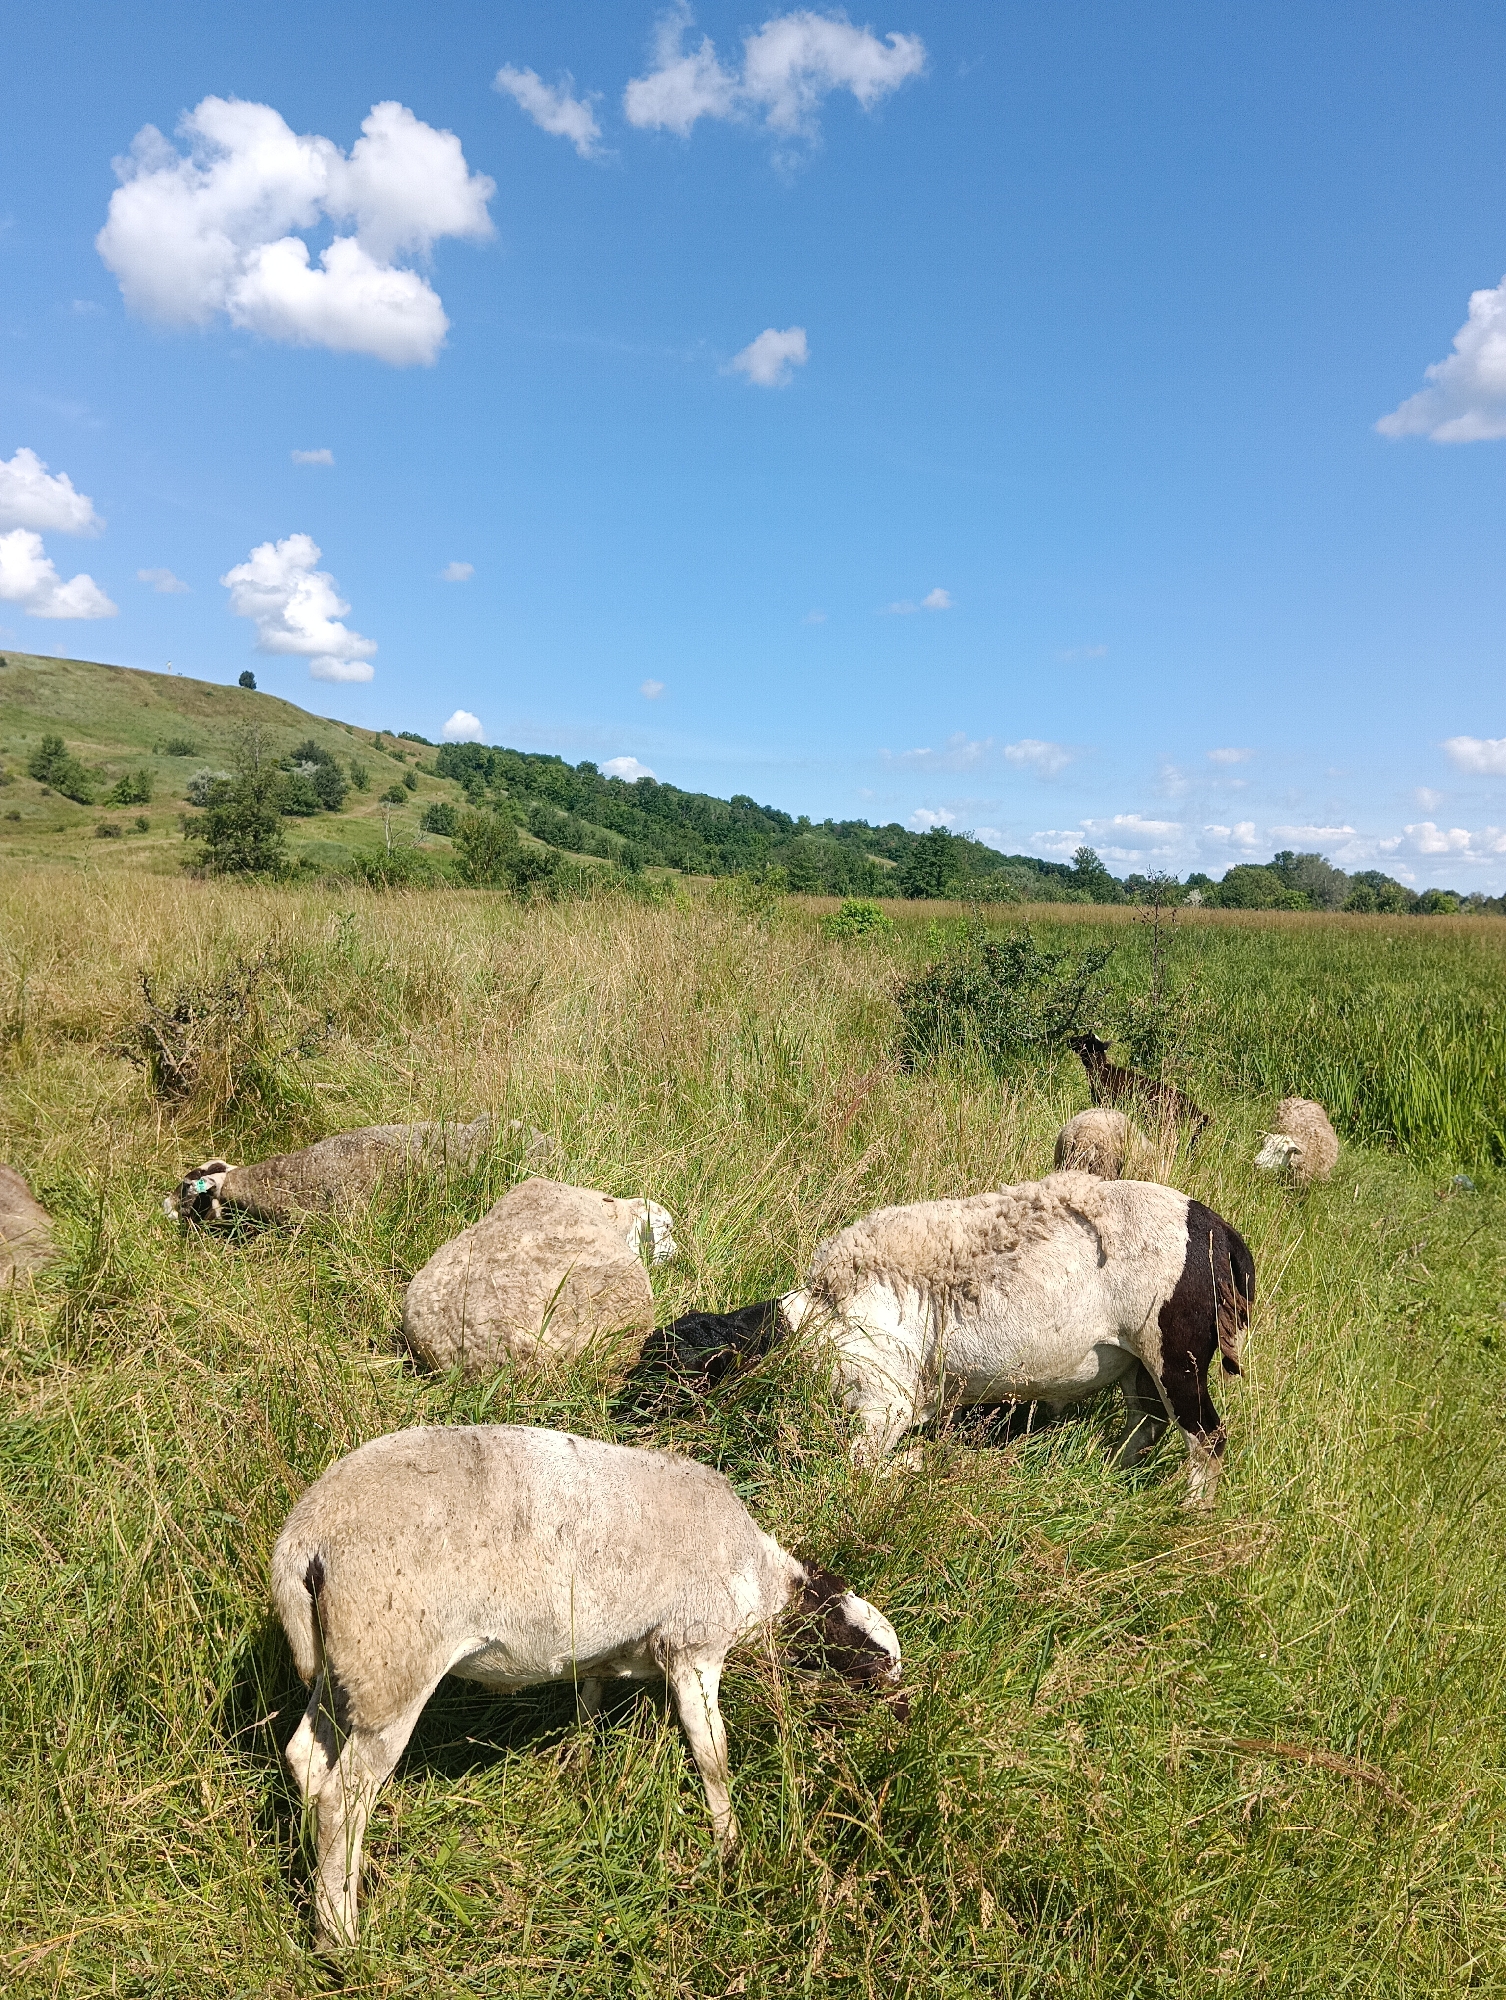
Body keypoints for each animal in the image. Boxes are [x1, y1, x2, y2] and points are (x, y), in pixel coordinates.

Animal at [271, 1424, 902, 1944]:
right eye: (871, 1658)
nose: (899, 1716)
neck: (760, 1580)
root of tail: (306, 1536)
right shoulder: (693, 1647)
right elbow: (712, 1754)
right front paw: (730, 1848)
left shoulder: (605, 1653)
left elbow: (590, 1702)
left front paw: (580, 1763)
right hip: (393, 1666)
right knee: (341, 1800)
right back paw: (340, 1934)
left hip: (344, 1667)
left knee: (305, 1759)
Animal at [777, 1173, 1254, 1506]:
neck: (821, 1312)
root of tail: (1221, 1235)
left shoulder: (884, 1398)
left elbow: (862, 1464)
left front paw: (919, 1463)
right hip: (1137, 1362)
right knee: (1147, 1422)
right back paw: (1107, 1474)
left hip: (1175, 1356)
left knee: (1208, 1438)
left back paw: (1191, 1512)